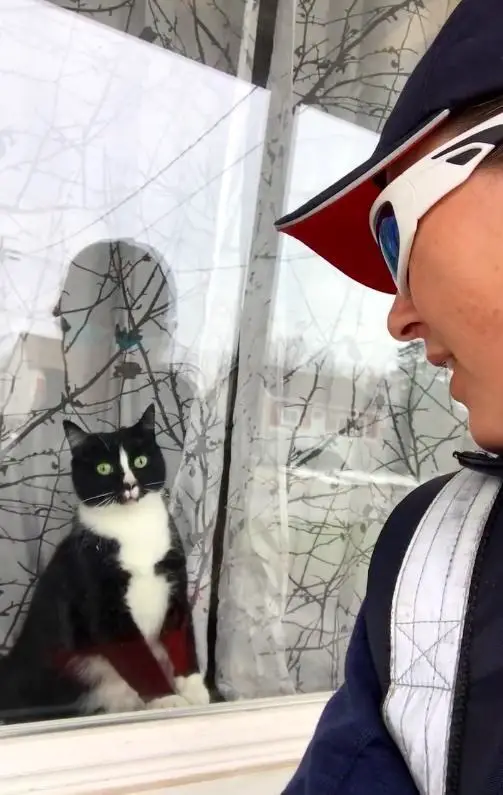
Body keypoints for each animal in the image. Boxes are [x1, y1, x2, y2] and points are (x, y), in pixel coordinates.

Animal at [0, 408, 210, 724]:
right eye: (103, 469)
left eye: (140, 461)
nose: (130, 486)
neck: (133, 528)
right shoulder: (101, 605)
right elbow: (137, 657)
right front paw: (167, 699)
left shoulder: (174, 580)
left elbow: (181, 634)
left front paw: (194, 689)